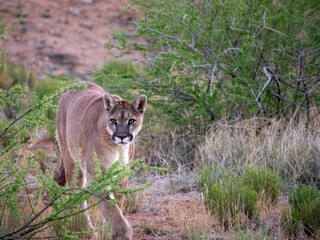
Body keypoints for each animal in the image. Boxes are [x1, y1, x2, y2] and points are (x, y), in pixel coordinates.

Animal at [53, 81, 147, 239]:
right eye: (113, 120)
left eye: (131, 121)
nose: (122, 137)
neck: (117, 148)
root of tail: (76, 84)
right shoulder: (97, 176)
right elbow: (110, 207)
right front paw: (121, 233)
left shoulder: (121, 175)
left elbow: (117, 204)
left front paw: (107, 232)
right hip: (71, 158)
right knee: (76, 193)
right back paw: (84, 228)